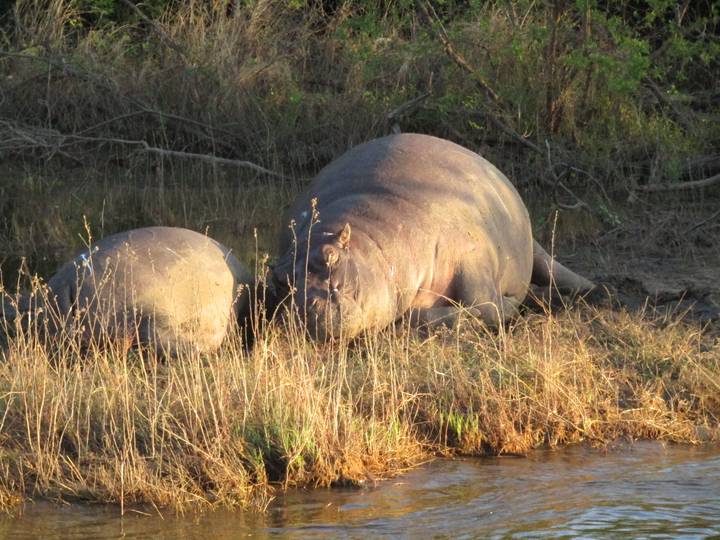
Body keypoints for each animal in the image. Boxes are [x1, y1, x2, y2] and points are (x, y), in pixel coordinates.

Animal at [273, 133, 594, 340]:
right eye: (276, 278)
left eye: (331, 256)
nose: (303, 309)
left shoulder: (471, 257)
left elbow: (485, 308)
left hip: (530, 249)